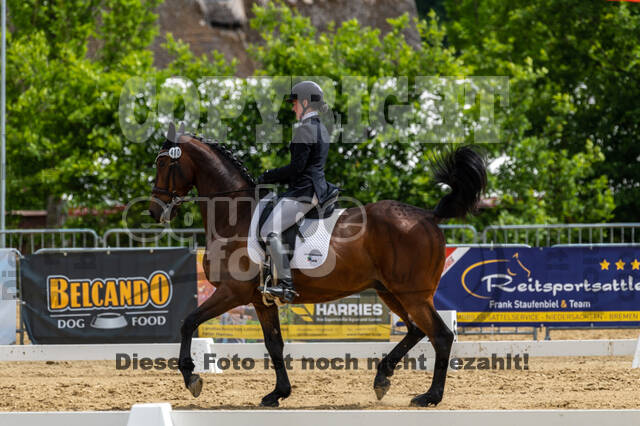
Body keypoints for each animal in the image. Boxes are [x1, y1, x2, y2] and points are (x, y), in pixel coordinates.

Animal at [147, 125, 487, 407]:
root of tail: (428, 216)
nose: (154, 210)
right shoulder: (260, 299)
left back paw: (430, 396)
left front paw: (191, 377)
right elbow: (274, 344)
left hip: (412, 295)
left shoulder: (234, 292)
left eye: (163, 165)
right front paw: (278, 393)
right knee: (417, 330)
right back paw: (382, 378)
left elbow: (187, 322)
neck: (236, 217)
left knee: (441, 336)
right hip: (391, 292)